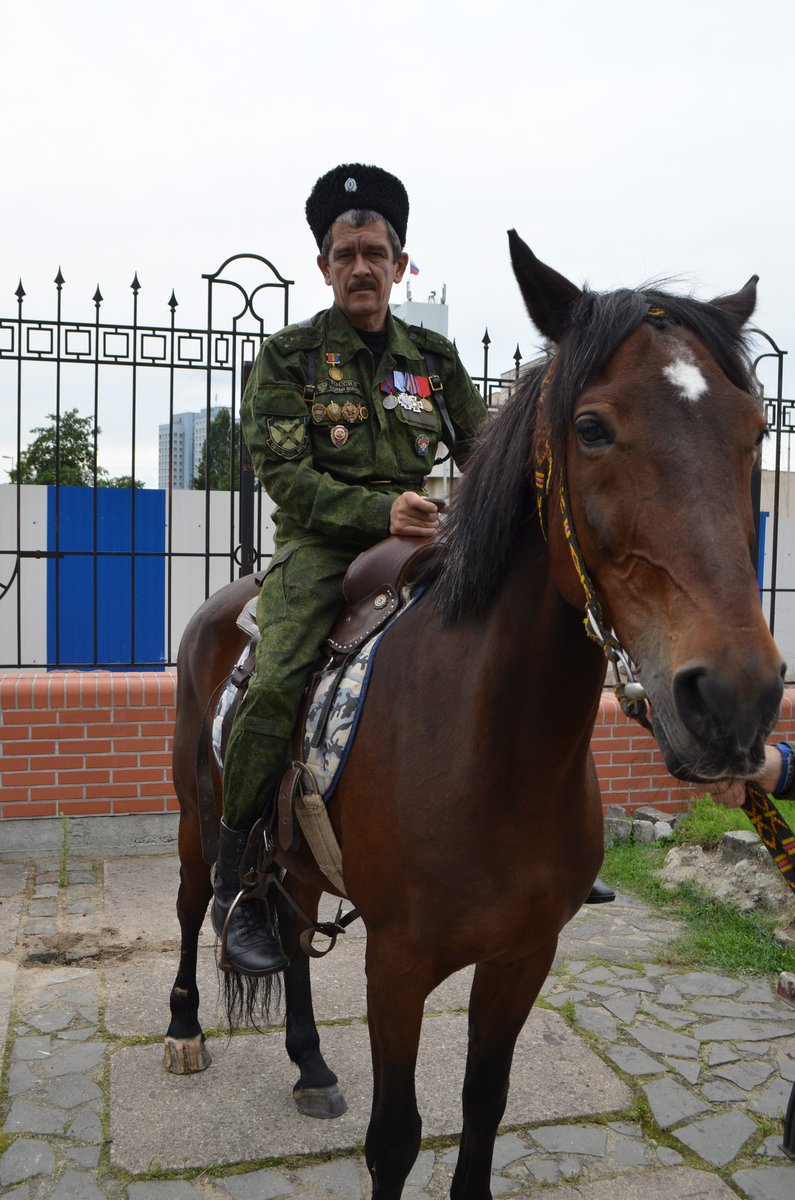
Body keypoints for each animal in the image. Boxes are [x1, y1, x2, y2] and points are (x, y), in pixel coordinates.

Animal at [164, 231, 784, 1200]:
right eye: (591, 427)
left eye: (754, 430)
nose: (734, 699)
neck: (494, 754)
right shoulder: (397, 966)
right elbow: (396, 1137)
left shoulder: (519, 960)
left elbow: (483, 1111)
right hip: (199, 816)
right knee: (198, 903)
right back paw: (186, 1026)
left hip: (297, 862)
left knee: (292, 935)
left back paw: (310, 1063)